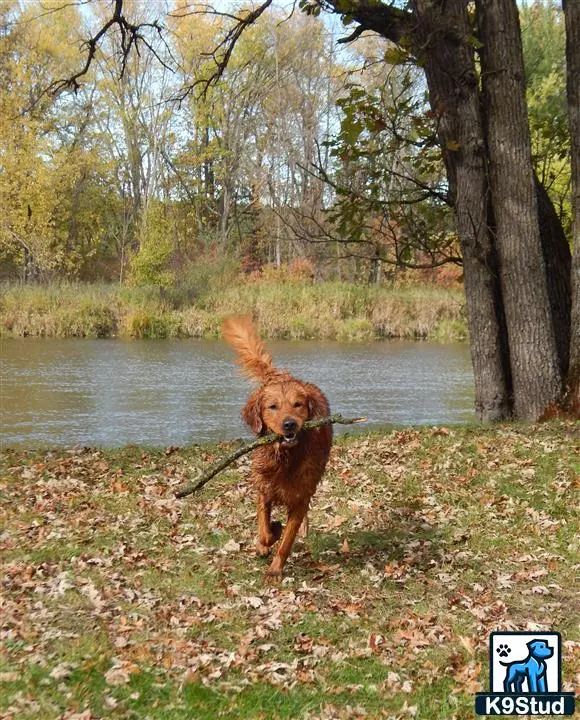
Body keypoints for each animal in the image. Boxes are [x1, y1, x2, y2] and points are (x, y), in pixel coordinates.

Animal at [222, 316, 330, 580]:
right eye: (272, 406)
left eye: (298, 404)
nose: (289, 424)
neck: (284, 458)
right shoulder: (263, 489)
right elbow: (264, 528)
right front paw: (266, 540)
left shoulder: (299, 498)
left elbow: (287, 540)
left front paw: (276, 567)